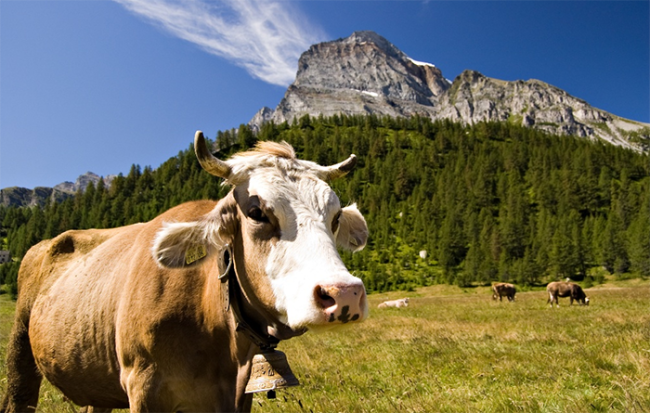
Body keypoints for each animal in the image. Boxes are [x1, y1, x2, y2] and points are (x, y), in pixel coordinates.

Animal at [1, 132, 370, 413]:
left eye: (335, 216)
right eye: (256, 212)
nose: (344, 293)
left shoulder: (240, 396)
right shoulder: (142, 385)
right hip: (20, 354)